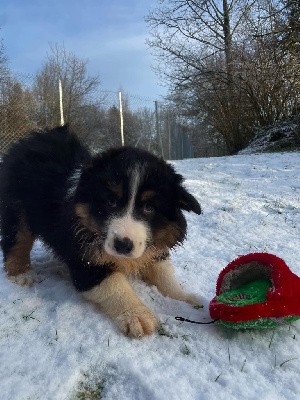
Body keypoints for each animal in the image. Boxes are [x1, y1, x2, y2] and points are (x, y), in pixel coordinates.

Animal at [1, 126, 202, 338]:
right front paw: (136, 314)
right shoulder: (84, 260)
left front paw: (186, 299)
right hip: (15, 208)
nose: (123, 245)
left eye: (149, 208)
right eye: (111, 202)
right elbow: (115, 285)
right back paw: (20, 274)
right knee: (16, 240)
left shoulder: (153, 246)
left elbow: (164, 275)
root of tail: (30, 140)